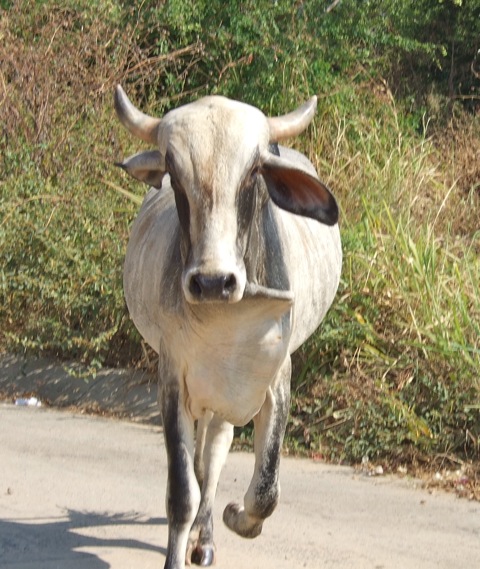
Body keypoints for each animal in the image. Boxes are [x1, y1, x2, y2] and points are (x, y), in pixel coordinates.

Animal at [113, 85, 342, 568]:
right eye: (173, 173)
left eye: (254, 172)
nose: (214, 282)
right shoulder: (172, 379)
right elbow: (182, 492)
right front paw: (176, 554)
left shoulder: (277, 378)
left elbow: (267, 489)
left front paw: (239, 517)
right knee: (204, 464)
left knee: (215, 456)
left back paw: (208, 536)